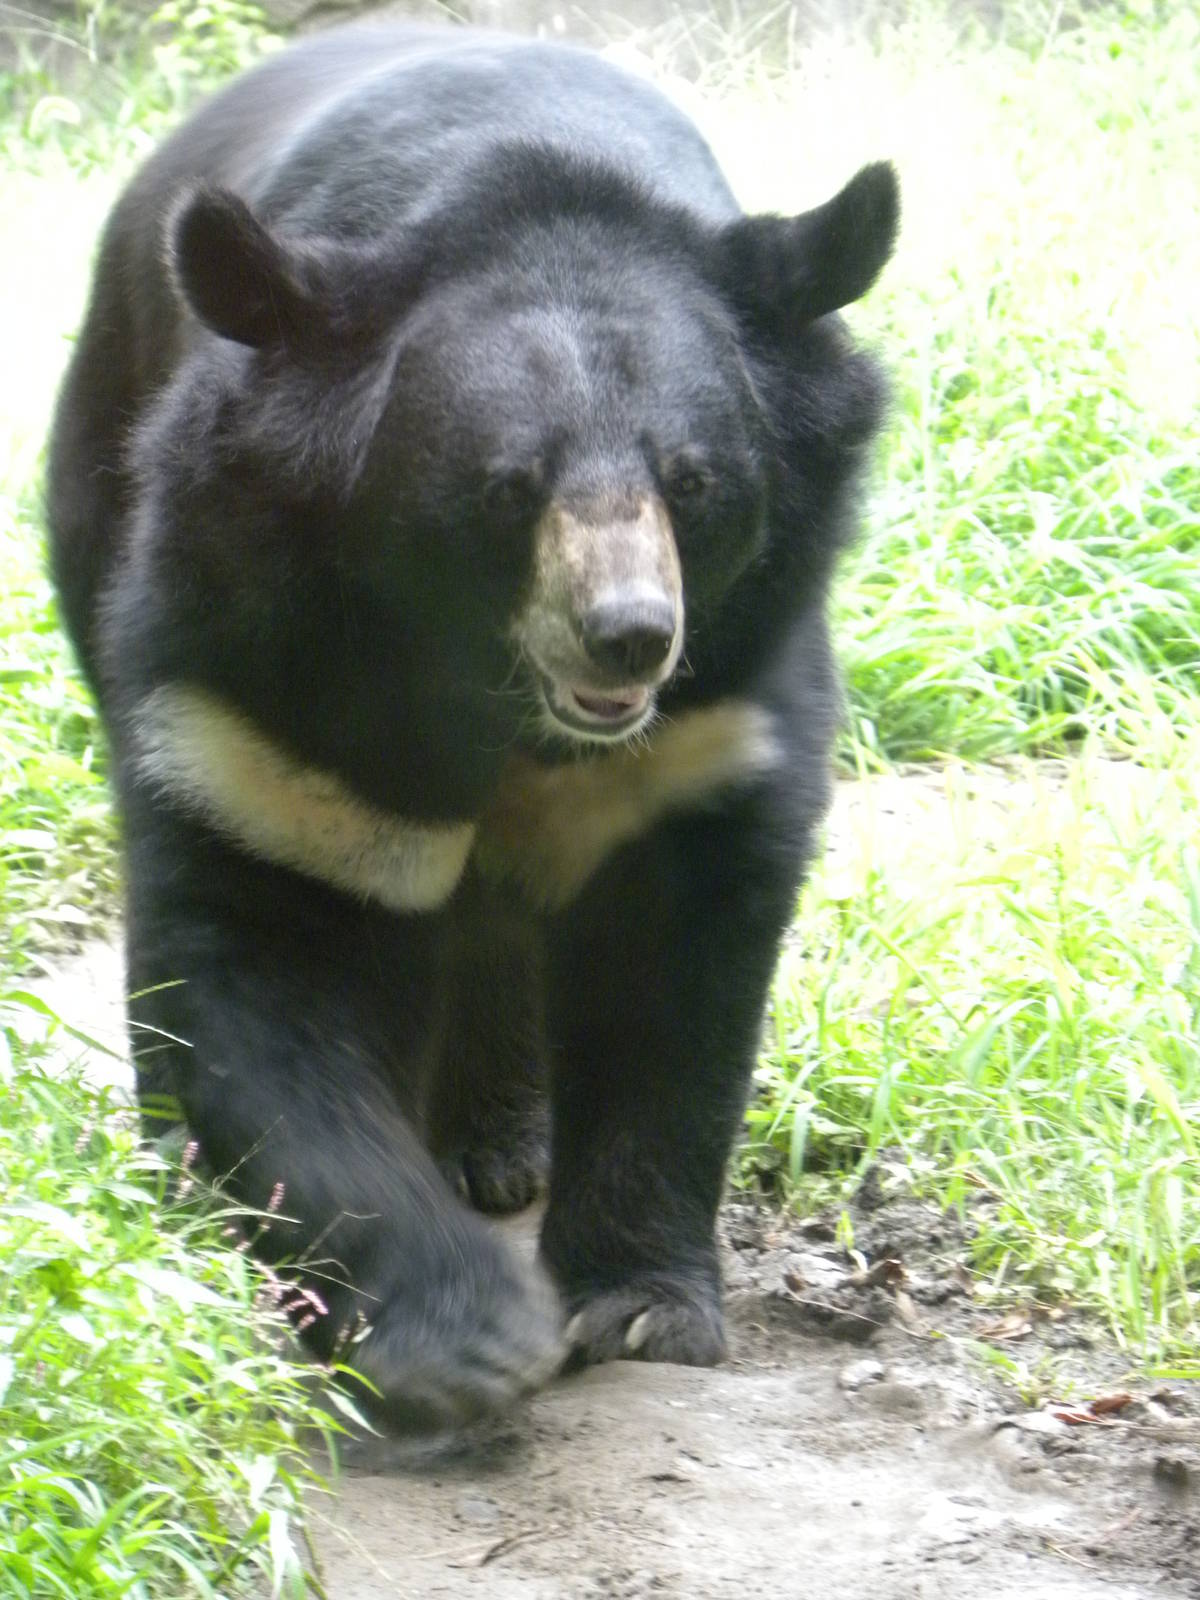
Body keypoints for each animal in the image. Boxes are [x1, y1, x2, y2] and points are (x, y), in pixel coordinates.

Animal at [46, 23, 897, 1431]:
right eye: (506, 489)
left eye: (693, 481)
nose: (628, 636)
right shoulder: (266, 677)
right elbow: (268, 955)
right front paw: (463, 1333)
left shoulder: (720, 707)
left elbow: (671, 982)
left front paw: (641, 1306)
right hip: (96, 460)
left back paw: (501, 1144)